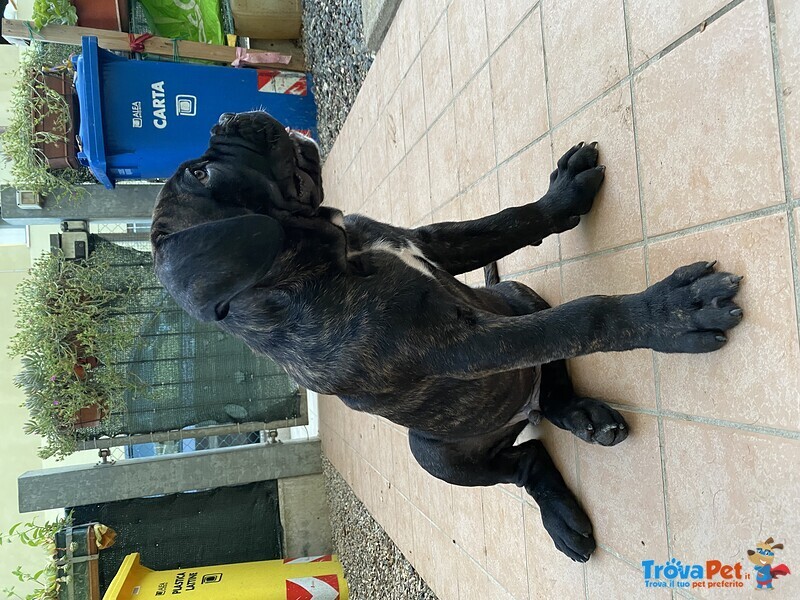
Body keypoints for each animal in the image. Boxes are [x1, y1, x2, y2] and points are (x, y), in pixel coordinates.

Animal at [152, 111, 744, 564]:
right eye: (203, 172)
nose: (225, 116)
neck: (328, 250)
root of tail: (521, 414)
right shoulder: (461, 348)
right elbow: (581, 319)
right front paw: (671, 312)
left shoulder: (427, 241)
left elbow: (503, 223)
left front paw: (561, 196)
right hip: (434, 456)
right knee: (526, 460)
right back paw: (563, 515)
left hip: (515, 295)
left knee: (550, 390)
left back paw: (585, 417)